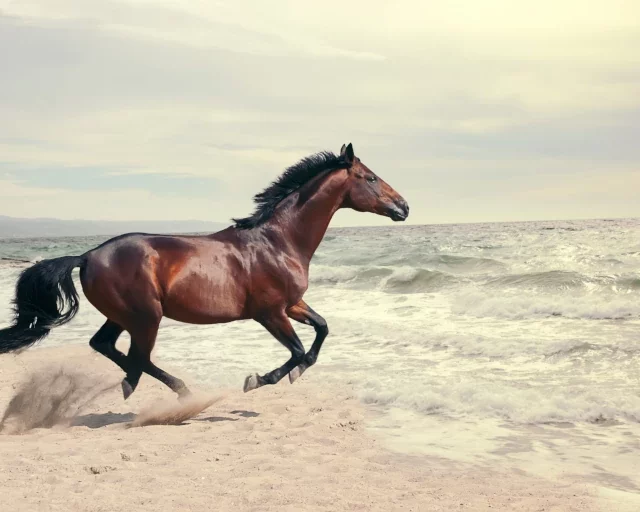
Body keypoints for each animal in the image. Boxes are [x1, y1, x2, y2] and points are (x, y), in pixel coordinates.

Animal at [0, 143, 409, 399]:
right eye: (371, 177)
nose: (404, 206)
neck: (278, 241)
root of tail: (86, 256)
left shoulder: (292, 305)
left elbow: (321, 330)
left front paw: (292, 372)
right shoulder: (270, 313)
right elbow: (295, 350)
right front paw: (259, 379)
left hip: (124, 315)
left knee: (106, 345)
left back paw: (154, 386)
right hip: (146, 316)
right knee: (137, 356)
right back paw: (160, 389)